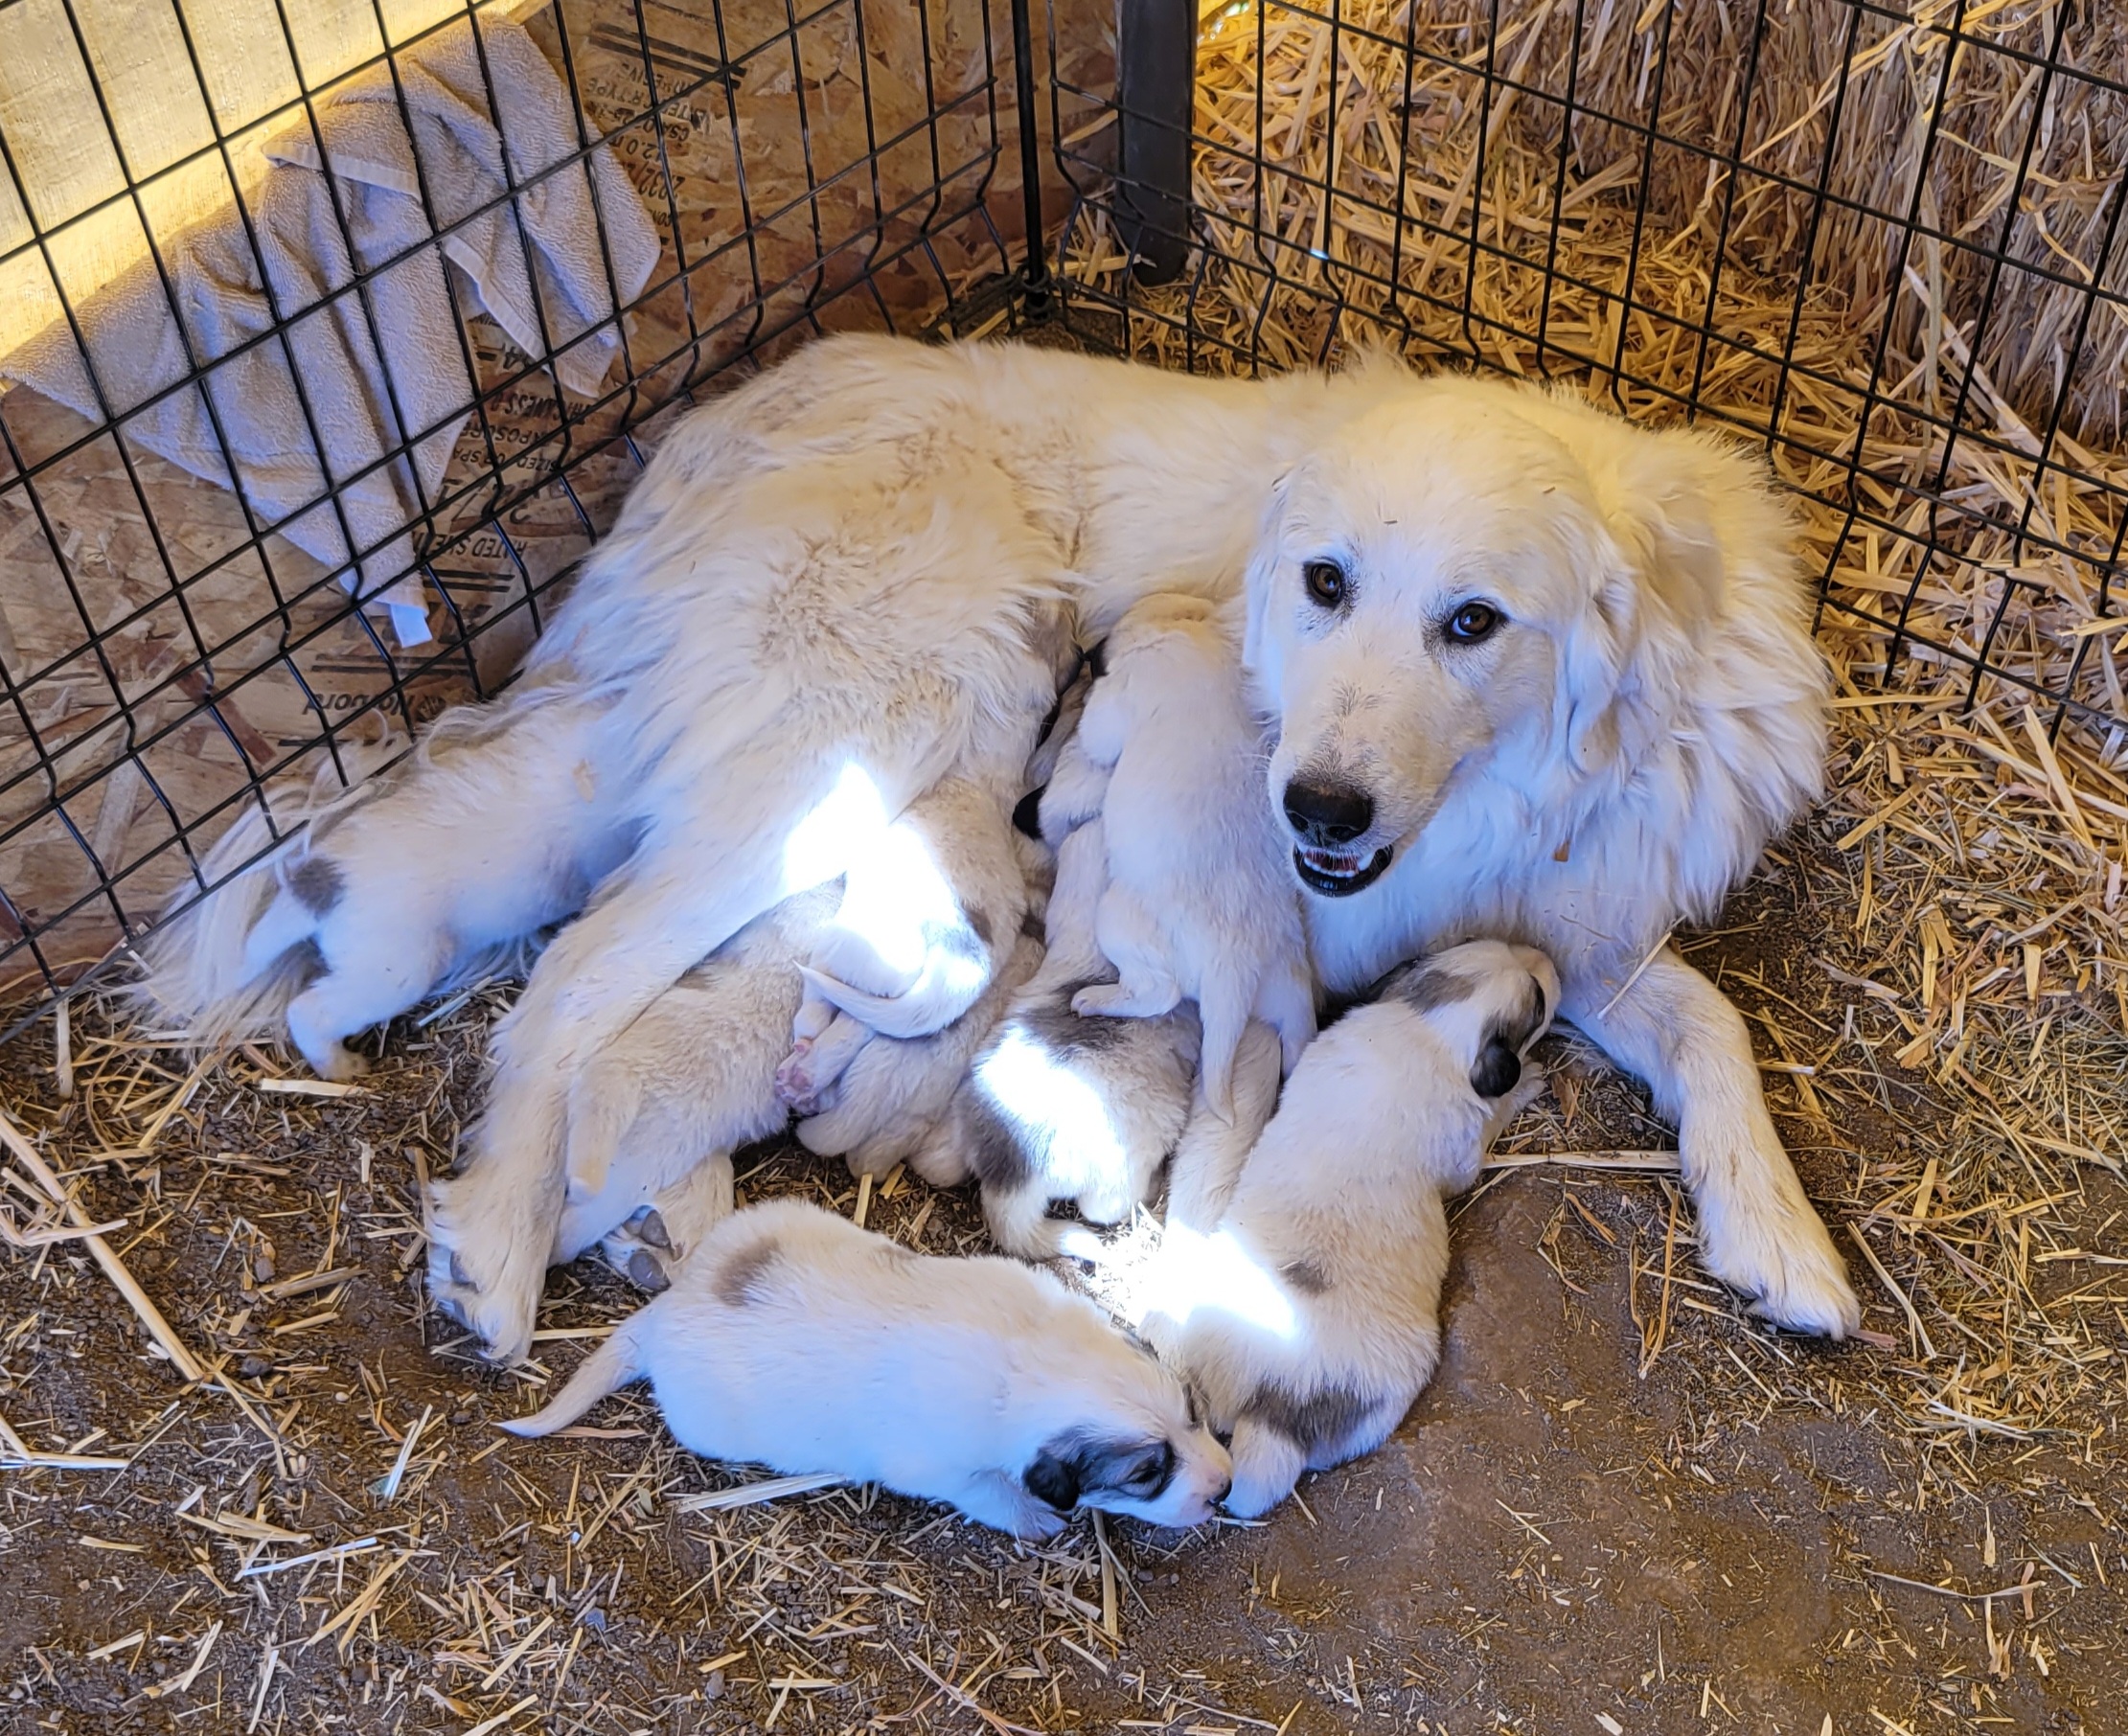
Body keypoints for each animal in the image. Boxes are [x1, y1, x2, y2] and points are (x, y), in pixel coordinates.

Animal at [141, 335, 1855, 1353]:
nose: (1315, 810)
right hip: (855, 741)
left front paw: (1779, 1235)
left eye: (1474, 622)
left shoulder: (1579, 927)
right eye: (1322, 584)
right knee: (572, 980)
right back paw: (497, 1244)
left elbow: (1709, 1023)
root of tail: (714, 422)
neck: (1506, 795)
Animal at [499, 1199, 1234, 1540]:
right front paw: (1036, 1520)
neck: (1031, 1357)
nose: (1224, 1490)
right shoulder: (942, 1470)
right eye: (1146, 1474)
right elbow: (990, 1495)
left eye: (1195, 1412)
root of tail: (664, 1315)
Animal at [1149, 936, 1566, 1515]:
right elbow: (1493, 1117)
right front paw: (1527, 1081)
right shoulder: (1465, 1150)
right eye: (1539, 1004)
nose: (1551, 960)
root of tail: (1265, 1409)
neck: (1426, 1028)